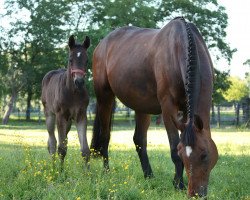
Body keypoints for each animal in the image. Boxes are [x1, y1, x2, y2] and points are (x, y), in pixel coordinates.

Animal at [91, 16, 218, 197]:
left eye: (204, 155)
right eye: (182, 154)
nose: (194, 193)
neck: (180, 45)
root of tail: (102, 44)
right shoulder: (168, 108)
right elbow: (173, 148)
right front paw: (178, 184)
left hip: (141, 106)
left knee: (139, 140)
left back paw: (149, 176)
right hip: (104, 97)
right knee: (105, 137)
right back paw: (107, 172)